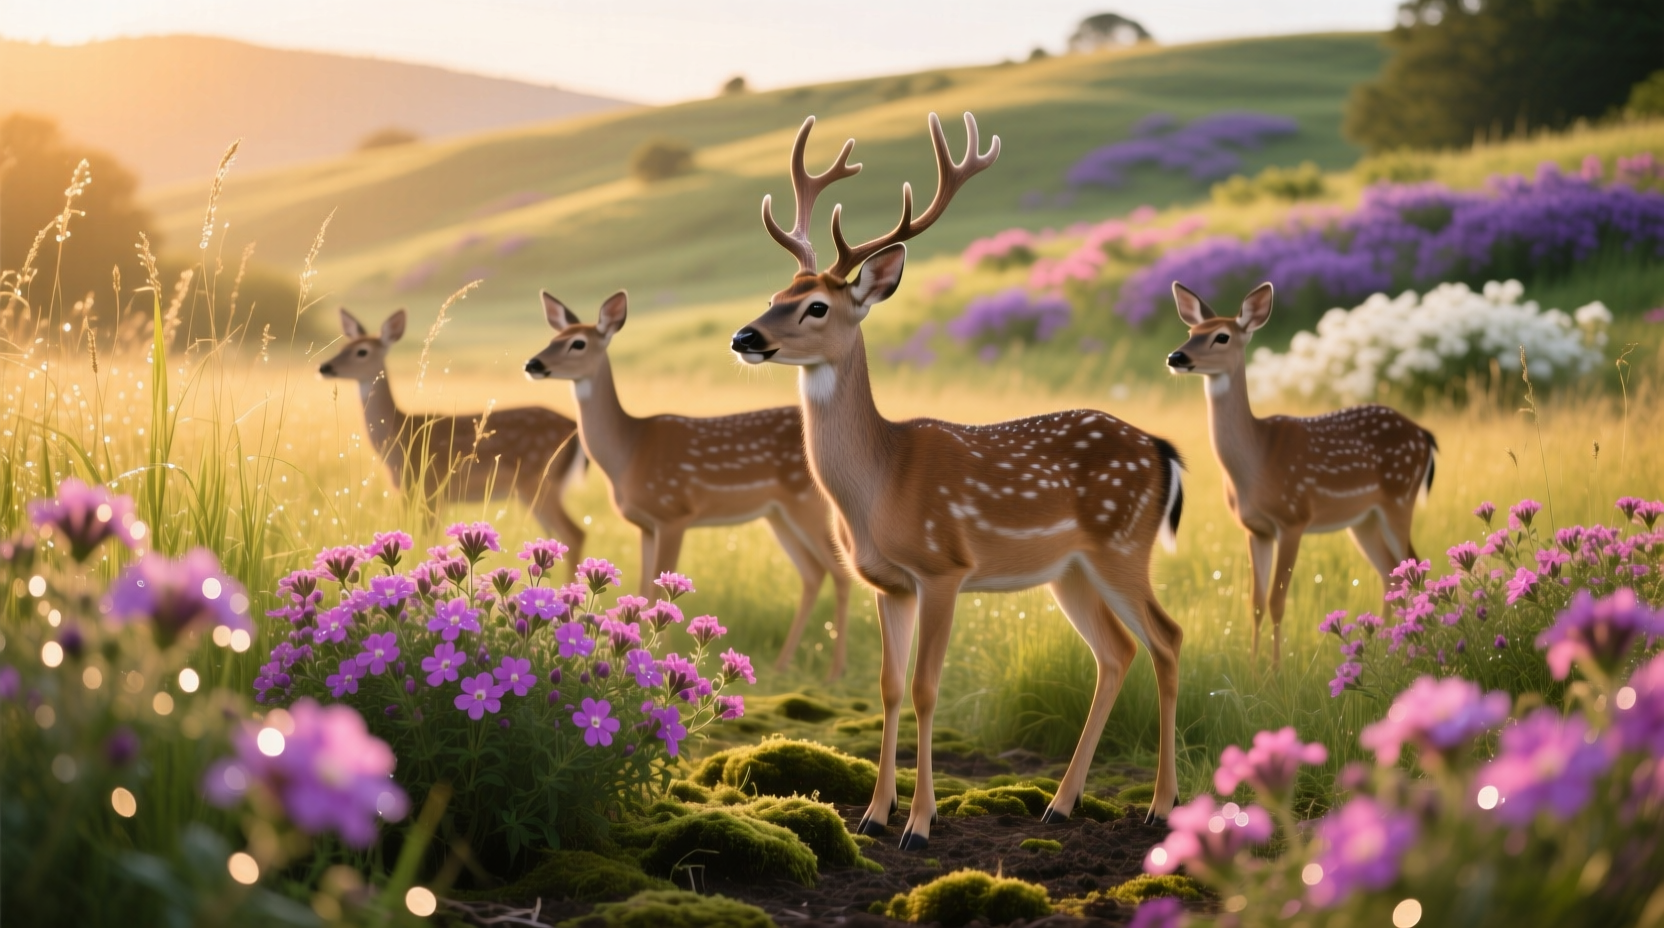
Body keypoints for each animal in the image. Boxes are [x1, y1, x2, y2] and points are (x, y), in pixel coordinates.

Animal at [318, 308, 587, 569]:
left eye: (361, 351)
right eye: (342, 347)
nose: (324, 367)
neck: (398, 436)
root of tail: (574, 429)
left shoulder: (429, 489)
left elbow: (426, 540)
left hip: (538, 479)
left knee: (575, 533)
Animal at [523, 291, 855, 680]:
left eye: (577, 343)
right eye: (553, 337)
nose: (533, 363)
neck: (629, 452)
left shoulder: (673, 512)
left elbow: (662, 590)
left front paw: (660, 664)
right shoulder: (645, 524)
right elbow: (643, 589)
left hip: (807, 503)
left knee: (840, 571)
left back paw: (835, 672)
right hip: (777, 514)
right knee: (813, 574)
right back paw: (781, 666)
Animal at [729, 112, 1188, 849]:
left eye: (818, 308)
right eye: (777, 296)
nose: (745, 337)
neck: (880, 485)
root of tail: (1158, 448)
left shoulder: (943, 567)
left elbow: (925, 687)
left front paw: (920, 822)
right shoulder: (887, 582)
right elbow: (888, 685)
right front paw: (873, 814)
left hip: (1123, 546)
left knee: (1166, 639)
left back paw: (1160, 805)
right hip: (1071, 569)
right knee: (1116, 653)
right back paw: (1061, 804)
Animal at [1165, 282, 1437, 669]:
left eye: (1221, 336)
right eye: (1191, 332)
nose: (1176, 357)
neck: (1256, 462)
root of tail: (1425, 435)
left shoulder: (1293, 517)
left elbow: (1278, 602)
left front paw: (1276, 671)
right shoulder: (1255, 528)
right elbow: (1255, 603)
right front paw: (1253, 669)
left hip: (1399, 497)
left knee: (1414, 570)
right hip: (1363, 518)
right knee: (1390, 575)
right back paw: (1386, 648)